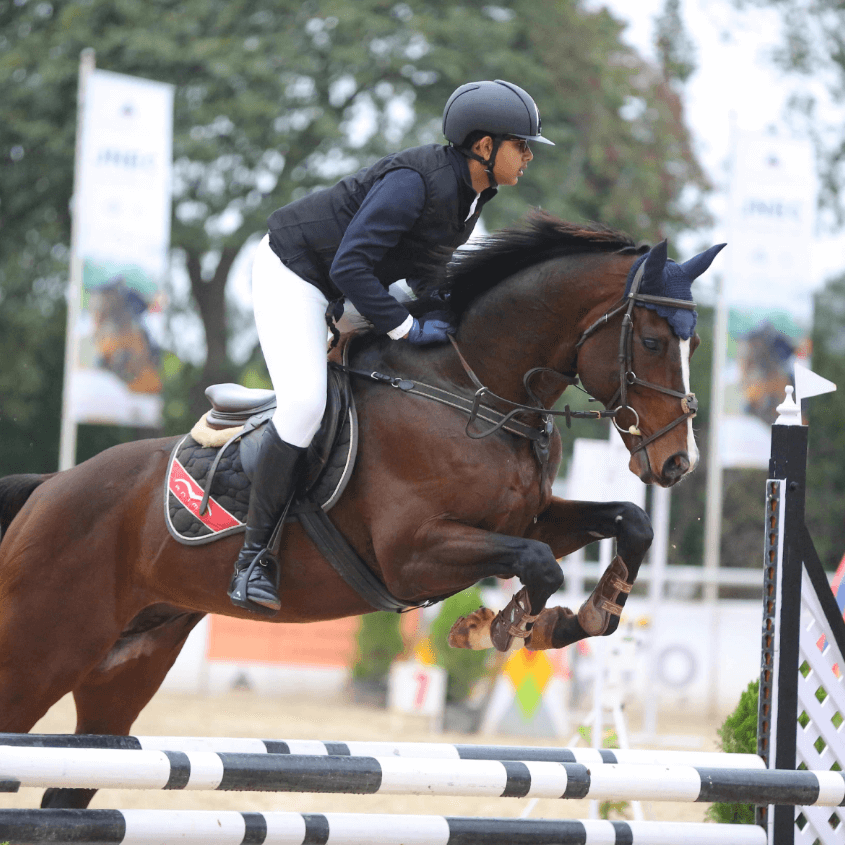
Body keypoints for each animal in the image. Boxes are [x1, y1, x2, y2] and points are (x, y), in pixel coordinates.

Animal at [0, 212, 723, 809]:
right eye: (653, 341)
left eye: (691, 344)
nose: (677, 463)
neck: (470, 391)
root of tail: (50, 487)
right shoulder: (413, 555)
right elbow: (538, 563)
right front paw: (500, 626)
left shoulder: (526, 519)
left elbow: (627, 522)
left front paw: (583, 616)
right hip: (40, 651)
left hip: (124, 670)